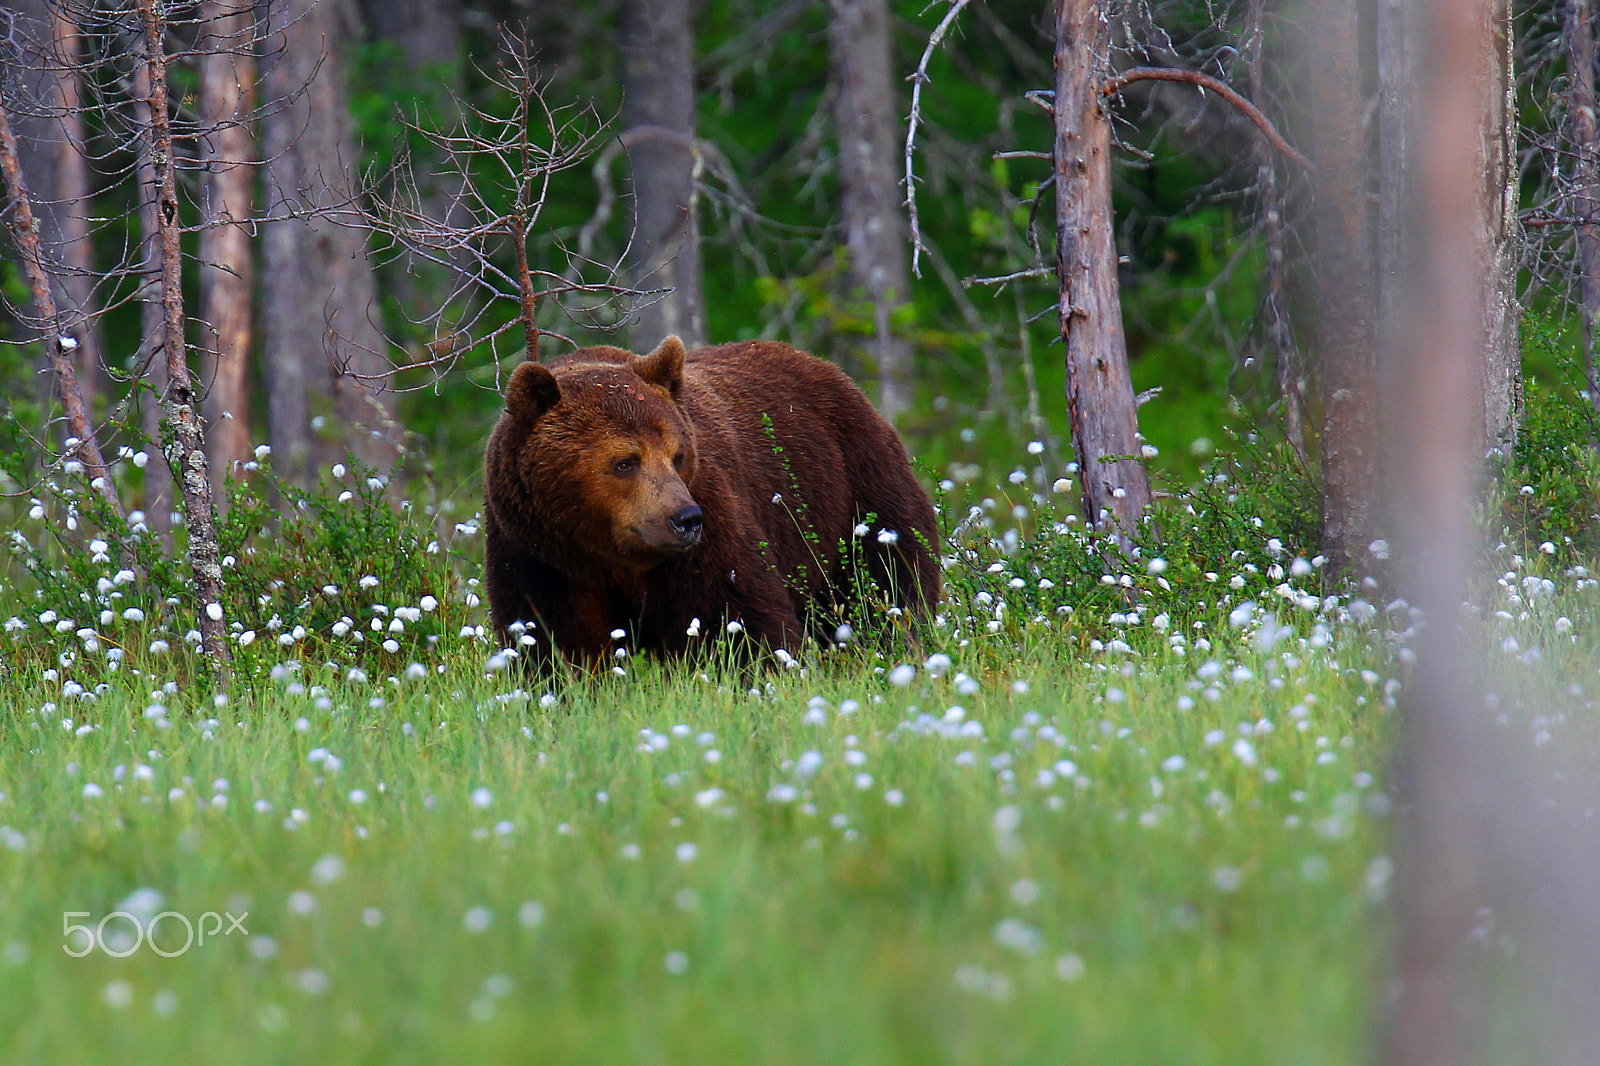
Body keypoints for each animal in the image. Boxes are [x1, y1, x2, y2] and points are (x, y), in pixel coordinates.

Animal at [482, 335, 940, 670]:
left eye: (677, 454)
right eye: (625, 461)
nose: (685, 518)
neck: (607, 557)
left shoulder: (708, 537)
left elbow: (739, 621)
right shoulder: (538, 557)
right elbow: (553, 643)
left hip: (853, 492)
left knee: (889, 584)